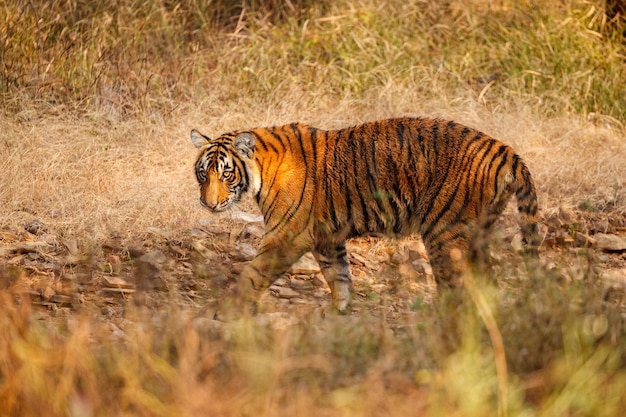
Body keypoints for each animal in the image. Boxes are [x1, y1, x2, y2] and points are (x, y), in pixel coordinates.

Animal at [190, 115, 536, 310]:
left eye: (226, 174)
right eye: (203, 173)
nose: (208, 204)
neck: (261, 169)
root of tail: (505, 150)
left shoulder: (286, 236)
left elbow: (252, 274)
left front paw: (226, 309)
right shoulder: (327, 239)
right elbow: (339, 277)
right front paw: (339, 313)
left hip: (445, 233)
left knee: (459, 285)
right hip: (478, 232)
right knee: (486, 281)